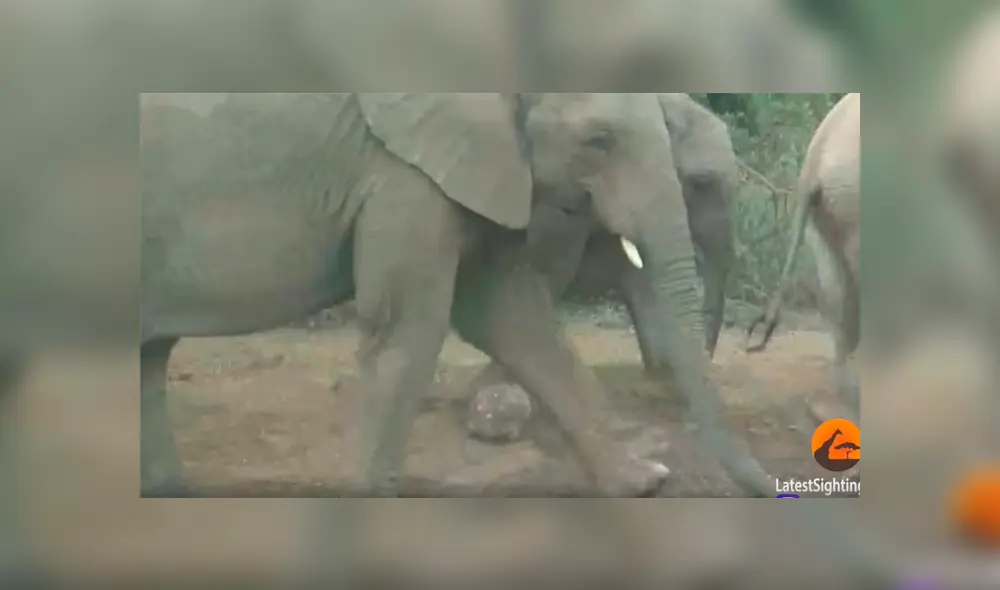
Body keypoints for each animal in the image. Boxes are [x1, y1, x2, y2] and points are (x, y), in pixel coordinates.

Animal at [137, 93, 777, 498]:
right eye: (598, 140)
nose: (774, 489)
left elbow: (509, 314)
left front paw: (644, 479)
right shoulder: (402, 173)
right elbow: (408, 328)